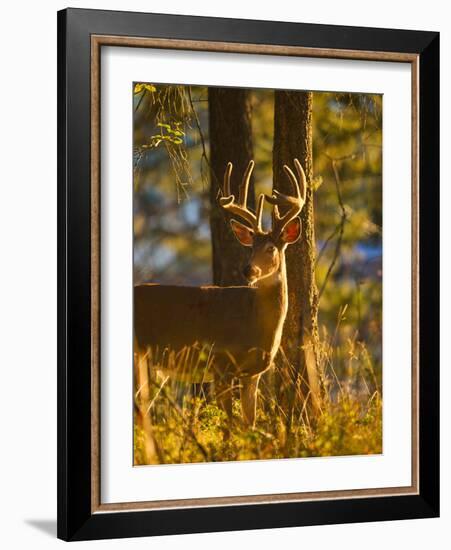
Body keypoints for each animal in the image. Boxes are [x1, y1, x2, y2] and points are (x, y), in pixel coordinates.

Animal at [135, 157, 308, 430]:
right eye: (251, 247)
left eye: (271, 248)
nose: (248, 269)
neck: (255, 325)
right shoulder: (220, 364)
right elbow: (229, 423)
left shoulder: (252, 374)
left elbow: (250, 422)